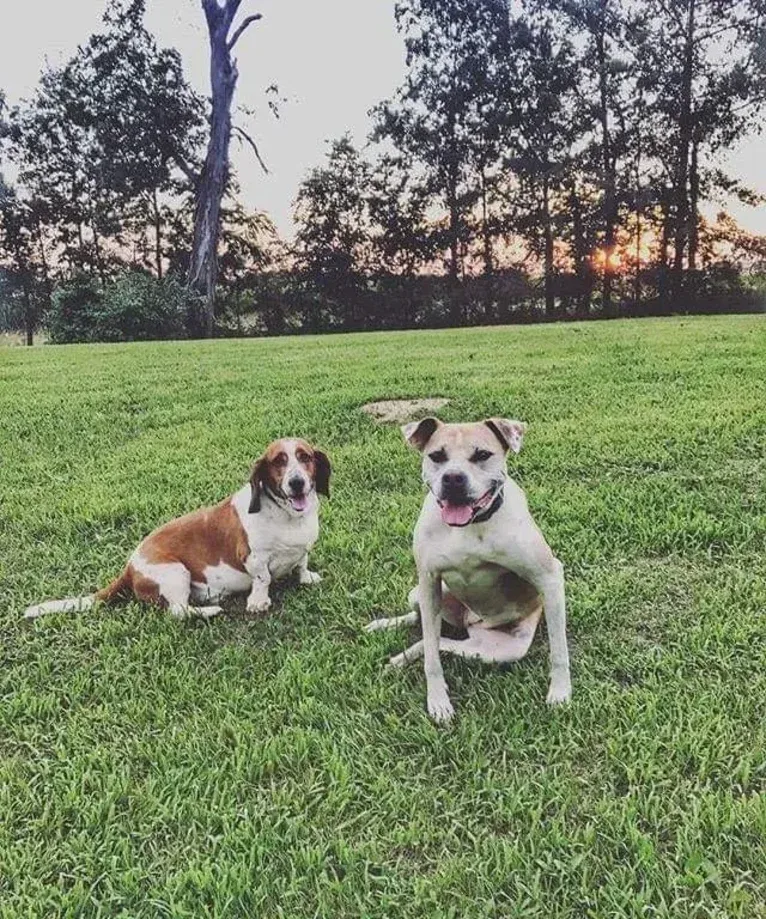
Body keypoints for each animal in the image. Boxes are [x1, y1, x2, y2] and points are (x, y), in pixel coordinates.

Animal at [23, 436, 330, 620]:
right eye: (279, 461)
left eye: (304, 457)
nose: (297, 483)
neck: (287, 516)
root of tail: (130, 567)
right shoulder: (253, 558)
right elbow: (263, 578)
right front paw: (258, 601)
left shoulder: (303, 549)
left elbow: (302, 563)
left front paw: (306, 577)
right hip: (175, 572)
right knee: (178, 611)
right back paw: (209, 610)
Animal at [368, 418, 572, 724]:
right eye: (437, 456)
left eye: (482, 455)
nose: (453, 478)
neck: (470, 526)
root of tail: (472, 623)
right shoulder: (429, 581)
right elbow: (431, 660)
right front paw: (438, 702)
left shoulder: (549, 576)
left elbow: (559, 648)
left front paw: (560, 693)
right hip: (420, 594)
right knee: (426, 631)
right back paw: (387, 631)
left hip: (500, 650)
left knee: (439, 641)